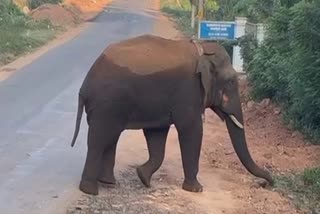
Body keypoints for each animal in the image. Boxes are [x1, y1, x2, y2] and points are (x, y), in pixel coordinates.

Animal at [69, 33, 272, 196]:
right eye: (231, 82)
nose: (267, 182)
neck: (202, 49)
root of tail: (84, 87)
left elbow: (157, 134)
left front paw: (143, 177)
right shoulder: (188, 91)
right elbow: (191, 130)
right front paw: (196, 189)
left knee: (110, 138)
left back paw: (109, 183)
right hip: (107, 104)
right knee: (100, 139)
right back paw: (90, 190)